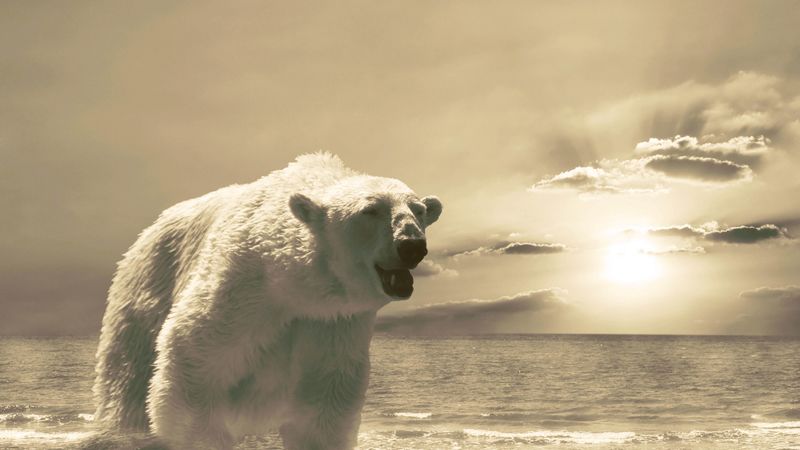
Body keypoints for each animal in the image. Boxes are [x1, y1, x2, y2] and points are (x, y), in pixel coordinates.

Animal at [92, 152, 442, 449]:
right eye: (370, 210)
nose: (412, 245)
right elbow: (192, 354)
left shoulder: (332, 319)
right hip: (145, 295)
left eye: (419, 210)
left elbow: (326, 396)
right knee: (128, 383)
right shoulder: (241, 283)